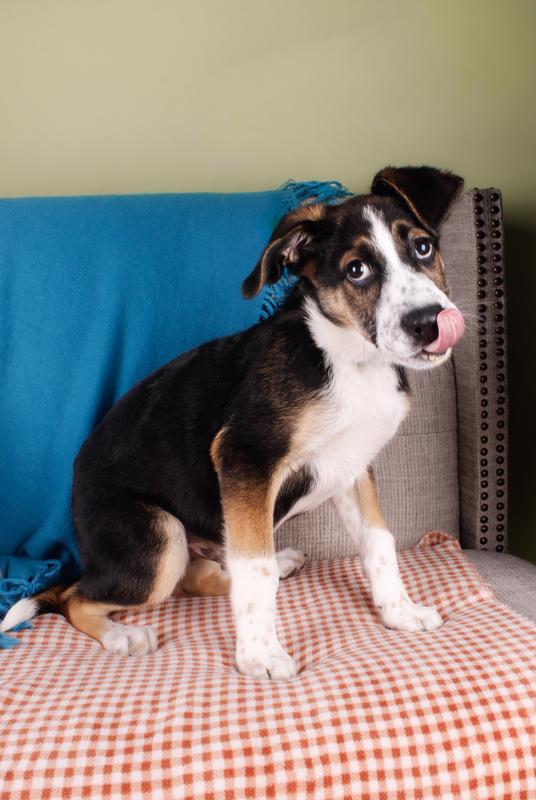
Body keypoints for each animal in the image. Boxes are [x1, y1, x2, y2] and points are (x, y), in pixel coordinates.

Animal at [1, 166, 465, 680]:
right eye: (356, 270)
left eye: (422, 247)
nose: (429, 322)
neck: (350, 360)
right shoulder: (246, 456)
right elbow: (255, 573)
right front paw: (260, 655)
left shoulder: (352, 465)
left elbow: (378, 542)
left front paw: (399, 611)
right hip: (160, 540)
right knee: (75, 596)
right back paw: (122, 635)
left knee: (200, 576)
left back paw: (277, 563)